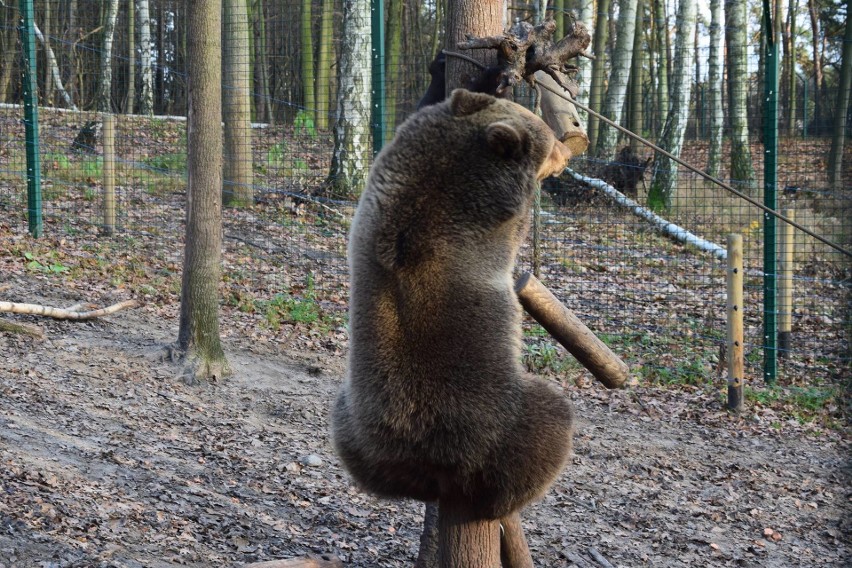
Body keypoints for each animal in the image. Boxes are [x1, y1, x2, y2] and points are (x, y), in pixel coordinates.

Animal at [330, 87, 576, 520]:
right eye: (549, 139)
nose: (567, 153)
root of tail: (434, 461)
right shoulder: (487, 208)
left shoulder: (403, 154)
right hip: (501, 421)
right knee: (550, 422)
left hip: (356, 426)